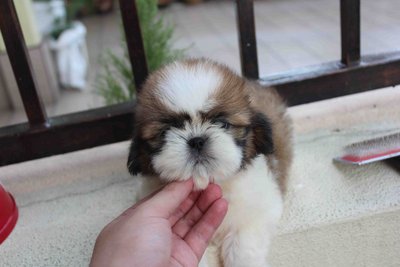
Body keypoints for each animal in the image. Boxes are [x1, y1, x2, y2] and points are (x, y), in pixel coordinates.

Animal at [129, 59, 294, 267]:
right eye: (166, 132)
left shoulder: (260, 210)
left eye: (222, 124)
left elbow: (243, 244)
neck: (210, 182)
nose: (197, 140)